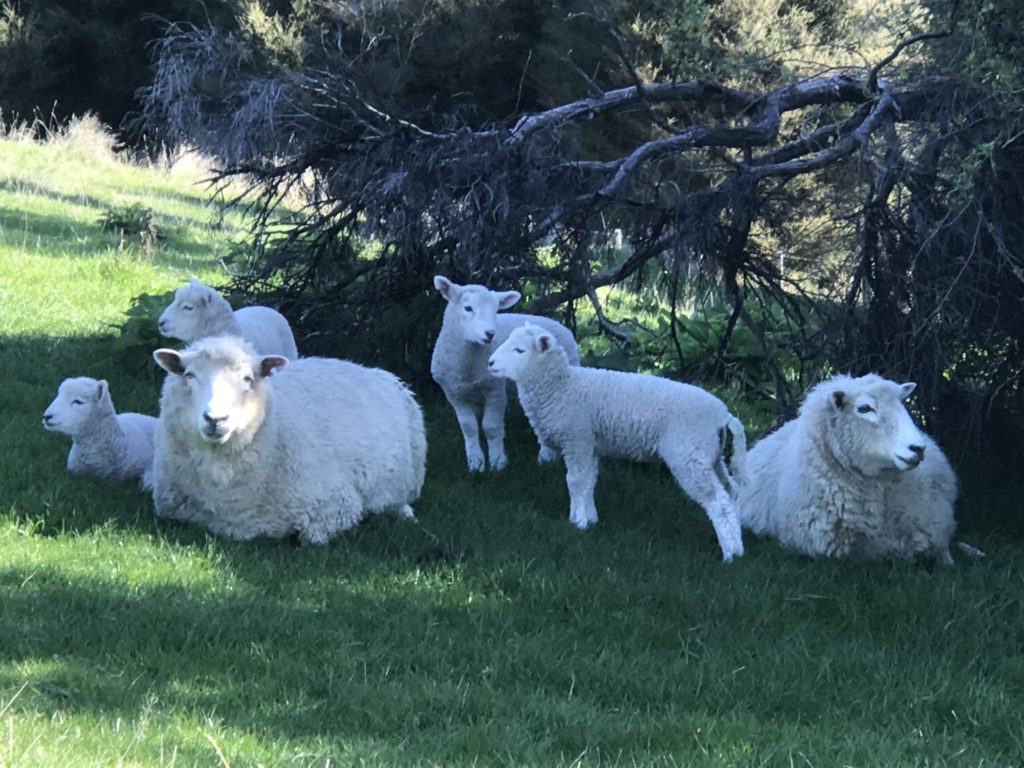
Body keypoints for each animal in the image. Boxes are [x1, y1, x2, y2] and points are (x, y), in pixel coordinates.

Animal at [149, 333, 425, 544]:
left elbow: (311, 539)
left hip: (409, 476)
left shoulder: (334, 507)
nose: (216, 419)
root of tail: (367, 368)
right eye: (189, 375)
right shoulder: (171, 511)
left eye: (247, 379)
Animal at [428, 274, 581, 473]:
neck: (468, 366)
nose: (490, 334)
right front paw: (476, 463)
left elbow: (491, 427)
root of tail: (559, 325)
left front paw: (497, 462)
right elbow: (469, 427)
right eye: (468, 308)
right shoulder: (455, 394)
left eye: (495, 311)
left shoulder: (495, 390)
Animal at [485, 321, 745, 561]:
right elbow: (589, 482)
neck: (562, 387)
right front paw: (589, 518)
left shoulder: (577, 439)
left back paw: (729, 553)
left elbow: (575, 482)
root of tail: (722, 414)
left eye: (520, 350)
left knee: (718, 501)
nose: (490, 363)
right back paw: (739, 546)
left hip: (688, 454)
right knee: (731, 492)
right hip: (711, 456)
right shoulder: (590, 444)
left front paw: (576, 521)